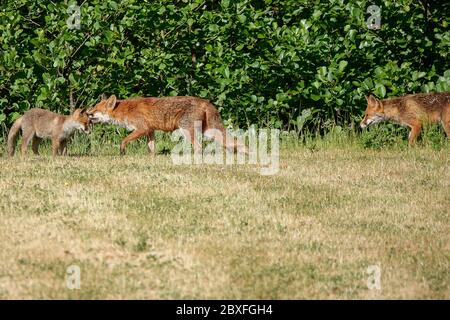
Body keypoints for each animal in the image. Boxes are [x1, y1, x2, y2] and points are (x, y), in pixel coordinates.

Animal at [85, 95, 244, 155]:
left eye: (95, 109)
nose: (86, 113)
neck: (126, 111)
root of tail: (205, 101)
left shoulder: (142, 128)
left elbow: (123, 140)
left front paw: (122, 152)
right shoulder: (150, 131)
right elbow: (152, 148)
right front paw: (152, 159)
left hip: (187, 131)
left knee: (199, 147)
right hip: (210, 132)